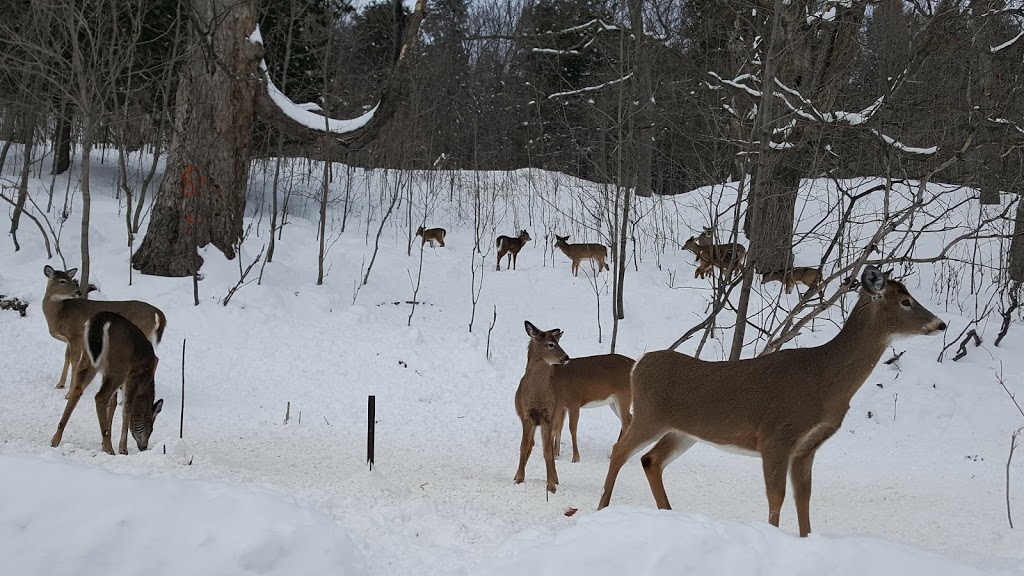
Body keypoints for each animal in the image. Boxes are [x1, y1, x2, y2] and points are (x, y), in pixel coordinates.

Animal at [50, 309, 163, 453]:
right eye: (151, 428)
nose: (144, 446)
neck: (146, 385)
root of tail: (102, 320)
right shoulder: (134, 376)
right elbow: (126, 409)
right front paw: (122, 448)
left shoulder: (105, 374)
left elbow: (112, 404)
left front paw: (103, 441)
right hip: (119, 366)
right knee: (100, 397)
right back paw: (109, 449)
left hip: (89, 360)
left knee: (78, 389)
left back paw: (55, 439)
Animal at [516, 319, 634, 491]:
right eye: (551, 344)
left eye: (557, 342)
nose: (566, 357)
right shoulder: (562, 406)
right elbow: (558, 430)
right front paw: (557, 453)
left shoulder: (573, 400)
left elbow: (571, 428)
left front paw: (575, 457)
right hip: (614, 402)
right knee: (629, 419)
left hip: (623, 396)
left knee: (626, 422)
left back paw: (616, 453)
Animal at [598, 266, 946, 537]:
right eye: (905, 301)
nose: (941, 324)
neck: (824, 380)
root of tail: (638, 365)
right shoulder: (777, 434)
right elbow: (776, 496)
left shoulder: (807, 447)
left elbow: (803, 496)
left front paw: (806, 538)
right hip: (650, 416)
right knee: (619, 450)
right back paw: (601, 509)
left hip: (683, 432)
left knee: (650, 460)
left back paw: (668, 514)